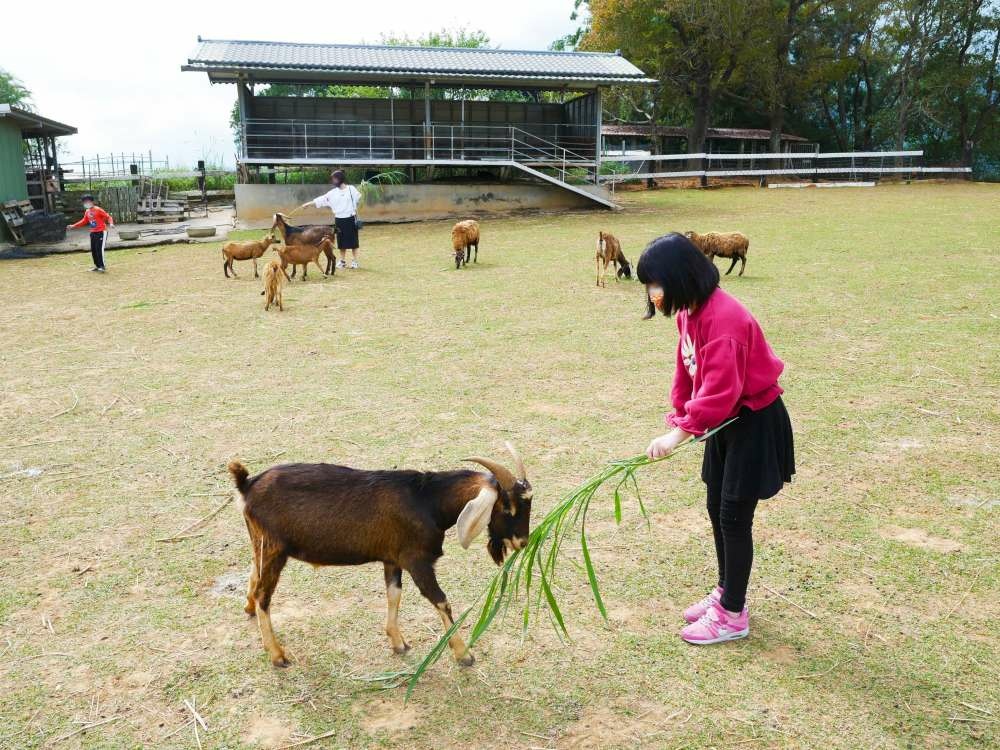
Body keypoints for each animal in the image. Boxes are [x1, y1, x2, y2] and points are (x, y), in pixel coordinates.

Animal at [230, 444, 536, 668]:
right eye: (506, 506)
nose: (523, 542)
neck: (427, 500)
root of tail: (246, 484)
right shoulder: (417, 560)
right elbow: (441, 601)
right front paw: (464, 654)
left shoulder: (393, 558)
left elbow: (393, 594)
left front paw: (398, 642)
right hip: (274, 549)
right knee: (264, 595)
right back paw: (277, 654)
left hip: (261, 544)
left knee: (254, 576)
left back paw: (248, 610)